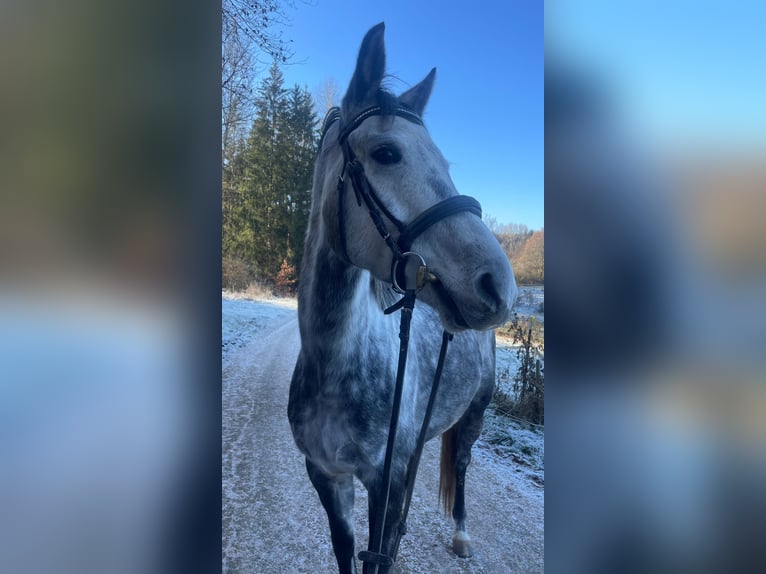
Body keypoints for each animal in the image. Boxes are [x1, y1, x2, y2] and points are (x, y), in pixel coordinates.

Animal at [292, 22, 520, 574]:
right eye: (387, 153)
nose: (499, 286)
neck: (334, 365)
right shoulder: (328, 478)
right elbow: (349, 553)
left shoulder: (386, 483)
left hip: (475, 415)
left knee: (461, 464)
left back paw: (461, 534)